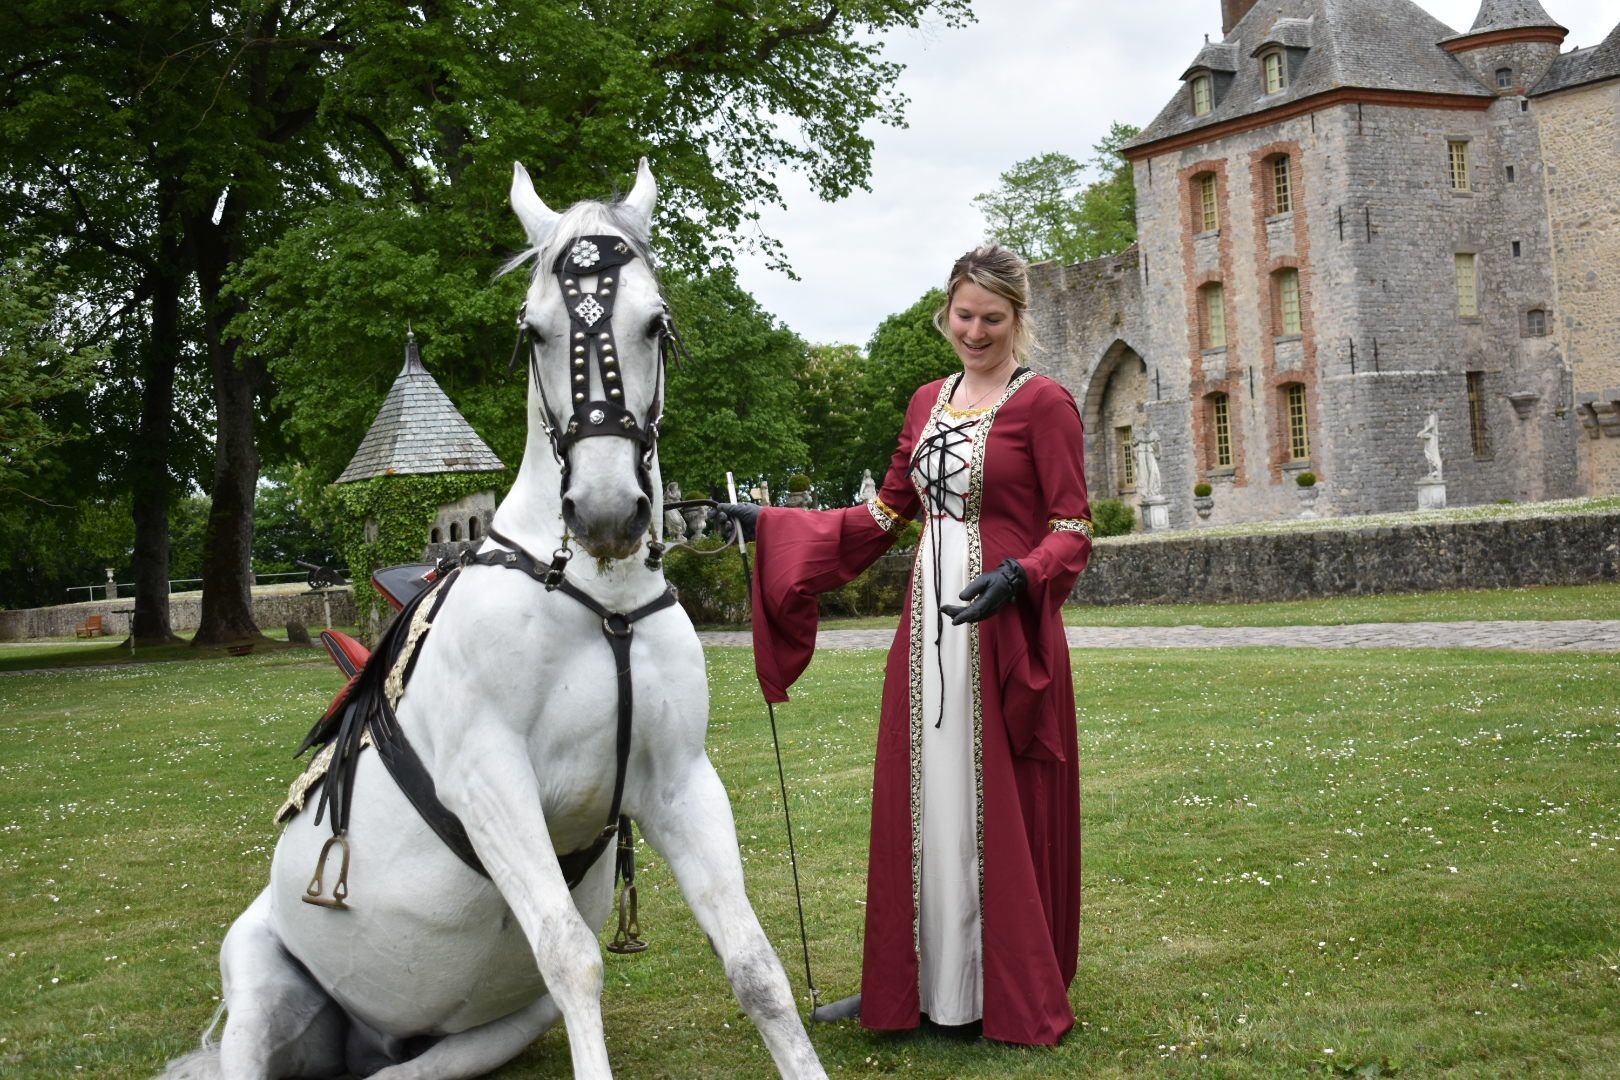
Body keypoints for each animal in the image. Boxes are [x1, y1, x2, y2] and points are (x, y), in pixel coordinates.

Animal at [162, 160, 822, 1080]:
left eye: (654, 325)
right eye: (534, 331)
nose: (607, 511)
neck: (599, 603)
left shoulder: (681, 785)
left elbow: (755, 963)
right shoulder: (491, 784)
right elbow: (574, 957)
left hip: (476, 1037)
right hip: (259, 988)